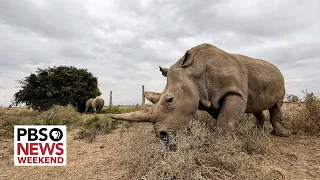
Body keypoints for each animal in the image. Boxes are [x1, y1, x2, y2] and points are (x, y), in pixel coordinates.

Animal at [110, 43, 292, 139]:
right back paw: (256, 132)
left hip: (281, 79)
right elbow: (221, 117)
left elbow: (225, 120)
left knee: (277, 105)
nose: (162, 136)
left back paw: (283, 134)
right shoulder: (210, 100)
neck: (194, 72)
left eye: (170, 100)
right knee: (255, 106)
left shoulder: (233, 92)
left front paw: (225, 144)